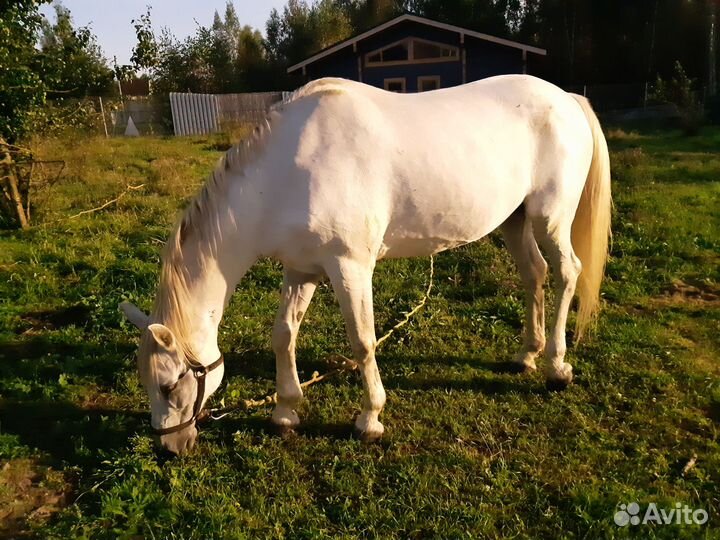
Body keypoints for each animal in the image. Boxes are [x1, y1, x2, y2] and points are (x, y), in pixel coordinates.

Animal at [120, 75, 611, 455]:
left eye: (168, 385)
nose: (169, 449)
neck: (285, 172)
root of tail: (566, 98)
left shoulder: (350, 268)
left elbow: (362, 342)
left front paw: (370, 419)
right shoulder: (301, 270)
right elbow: (283, 335)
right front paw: (285, 412)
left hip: (550, 218)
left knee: (567, 272)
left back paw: (556, 367)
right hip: (515, 220)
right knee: (534, 274)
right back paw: (527, 355)